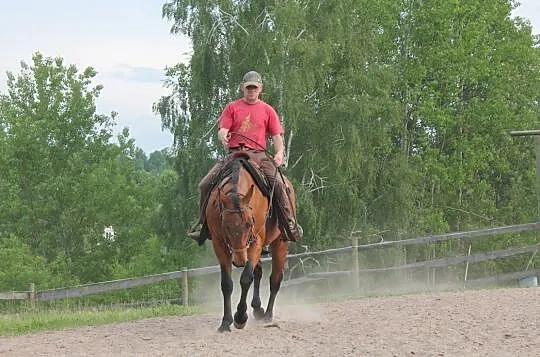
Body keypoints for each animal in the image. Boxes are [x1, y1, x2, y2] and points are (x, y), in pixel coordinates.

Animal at [207, 151, 294, 330]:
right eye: (225, 225)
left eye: (249, 223)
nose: (240, 260)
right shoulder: (219, 244)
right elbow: (227, 284)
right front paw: (226, 322)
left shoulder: (256, 242)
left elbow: (246, 278)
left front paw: (240, 317)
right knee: (258, 273)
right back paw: (258, 309)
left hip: (280, 243)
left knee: (275, 279)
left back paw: (267, 315)